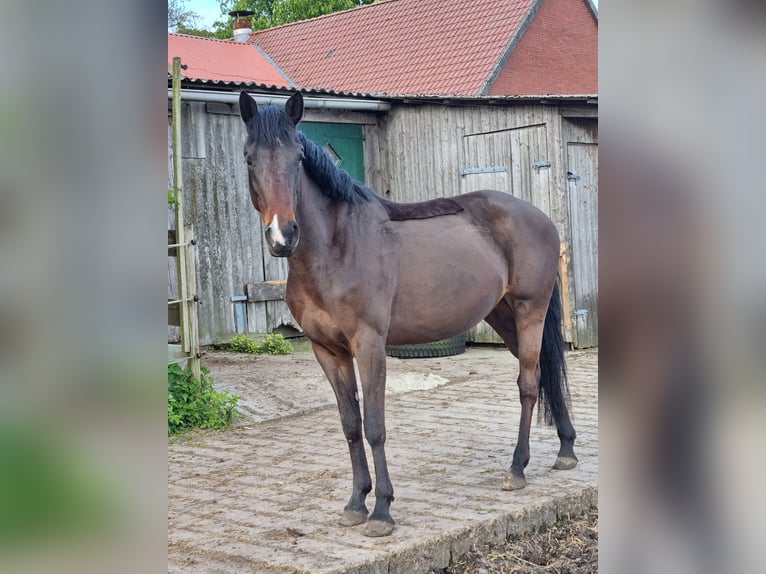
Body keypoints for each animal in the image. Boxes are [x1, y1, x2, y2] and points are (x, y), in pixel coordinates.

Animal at [238, 91, 576, 540]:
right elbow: (350, 424)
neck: (337, 247)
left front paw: (381, 510)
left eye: (297, 158)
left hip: (529, 311)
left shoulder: (369, 345)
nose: (283, 236)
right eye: (249, 159)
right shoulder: (327, 350)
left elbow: (374, 425)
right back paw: (567, 448)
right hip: (503, 317)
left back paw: (517, 469)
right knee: (547, 372)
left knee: (529, 382)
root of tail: (540, 217)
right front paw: (355, 503)